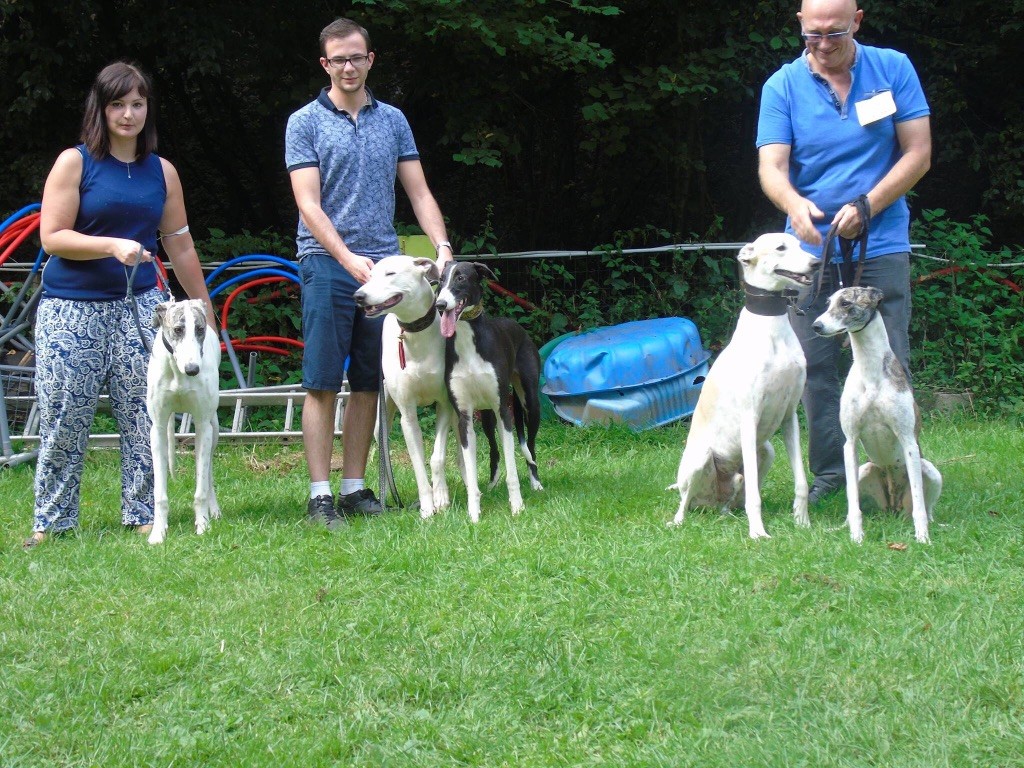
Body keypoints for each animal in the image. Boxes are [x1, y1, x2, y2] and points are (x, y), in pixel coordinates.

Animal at [145, 296, 221, 544]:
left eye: (199, 329)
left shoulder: (203, 426)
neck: (178, 372)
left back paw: (213, 510)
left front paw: (203, 526)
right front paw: (158, 533)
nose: (193, 369)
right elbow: (159, 493)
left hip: (213, 429)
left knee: (208, 473)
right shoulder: (157, 430)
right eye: (178, 329)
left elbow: (201, 488)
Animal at [356, 257, 456, 518]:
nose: (358, 296)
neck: (415, 333)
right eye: (370, 276)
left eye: (390, 273)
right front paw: (427, 506)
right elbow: (417, 463)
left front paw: (441, 497)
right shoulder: (407, 416)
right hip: (381, 418)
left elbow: (437, 457)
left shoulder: (444, 404)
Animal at [432, 260, 544, 524]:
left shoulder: (504, 411)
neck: (468, 342)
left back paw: (536, 483)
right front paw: (474, 513)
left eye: (461, 278)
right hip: (485, 417)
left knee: (530, 446)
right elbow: (471, 471)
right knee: (494, 449)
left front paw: (517, 506)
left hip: (530, 402)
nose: (440, 305)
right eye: (440, 280)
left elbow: (512, 468)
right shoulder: (464, 417)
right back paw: (492, 484)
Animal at [667, 234, 819, 540]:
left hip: (766, 452)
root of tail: (710, 503)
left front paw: (802, 523)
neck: (772, 327)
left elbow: (800, 481)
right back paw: (678, 521)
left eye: (800, 244)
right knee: (684, 500)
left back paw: (727, 512)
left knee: (736, 496)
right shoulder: (750, 418)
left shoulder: (789, 417)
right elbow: (755, 499)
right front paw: (758, 533)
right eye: (780, 247)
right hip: (700, 459)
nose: (816, 263)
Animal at [811, 286, 937, 544]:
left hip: (929, 470)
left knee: (926, 507)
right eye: (828, 303)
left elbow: (919, 502)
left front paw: (922, 538)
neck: (869, 371)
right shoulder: (849, 442)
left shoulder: (908, 441)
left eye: (846, 303)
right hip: (864, 470)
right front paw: (856, 538)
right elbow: (853, 503)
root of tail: (893, 504)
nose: (816, 326)